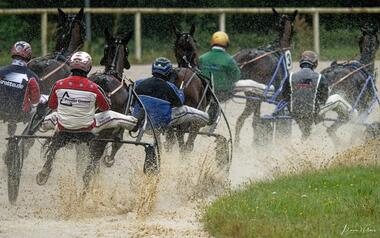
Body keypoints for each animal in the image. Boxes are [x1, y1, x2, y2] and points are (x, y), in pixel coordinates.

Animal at [233, 8, 298, 146]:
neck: (279, 48)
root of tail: (248, 57)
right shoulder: (280, 98)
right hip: (253, 97)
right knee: (245, 120)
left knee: (242, 120)